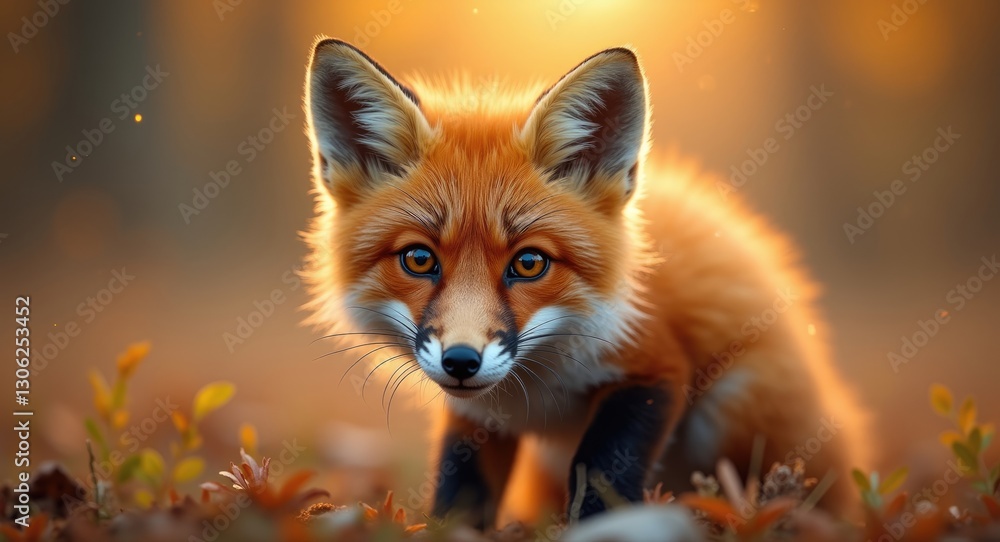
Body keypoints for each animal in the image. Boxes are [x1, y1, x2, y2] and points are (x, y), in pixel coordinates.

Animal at [301, 38, 868, 527]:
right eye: (419, 260)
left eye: (530, 264)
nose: (461, 361)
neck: (534, 391)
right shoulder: (476, 418)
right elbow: (457, 494)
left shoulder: (653, 369)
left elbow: (601, 473)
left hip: (735, 411)